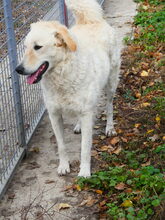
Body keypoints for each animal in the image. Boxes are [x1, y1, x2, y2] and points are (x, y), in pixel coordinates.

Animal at [16, 0, 120, 177]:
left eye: (38, 47)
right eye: (26, 47)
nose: (18, 70)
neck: (62, 73)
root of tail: (91, 21)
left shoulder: (86, 113)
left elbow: (85, 148)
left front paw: (84, 172)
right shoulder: (54, 115)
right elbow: (61, 146)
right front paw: (63, 166)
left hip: (111, 84)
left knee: (109, 106)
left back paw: (110, 127)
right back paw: (78, 126)